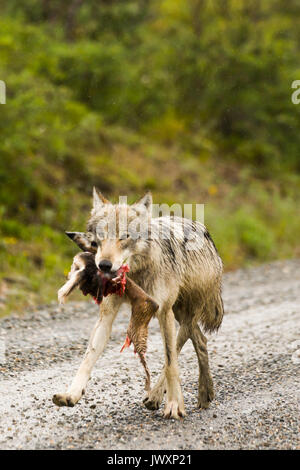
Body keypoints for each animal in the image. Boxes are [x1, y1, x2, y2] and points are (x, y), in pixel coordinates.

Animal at [52, 188, 224, 418]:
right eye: (99, 239)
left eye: (124, 237)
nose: (103, 265)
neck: (135, 274)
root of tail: (204, 231)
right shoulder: (107, 314)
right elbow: (88, 357)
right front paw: (71, 394)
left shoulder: (163, 312)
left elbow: (170, 362)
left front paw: (174, 405)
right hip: (180, 314)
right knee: (202, 340)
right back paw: (205, 392)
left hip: (182, 313)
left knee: (179, 348)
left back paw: (158, 396)